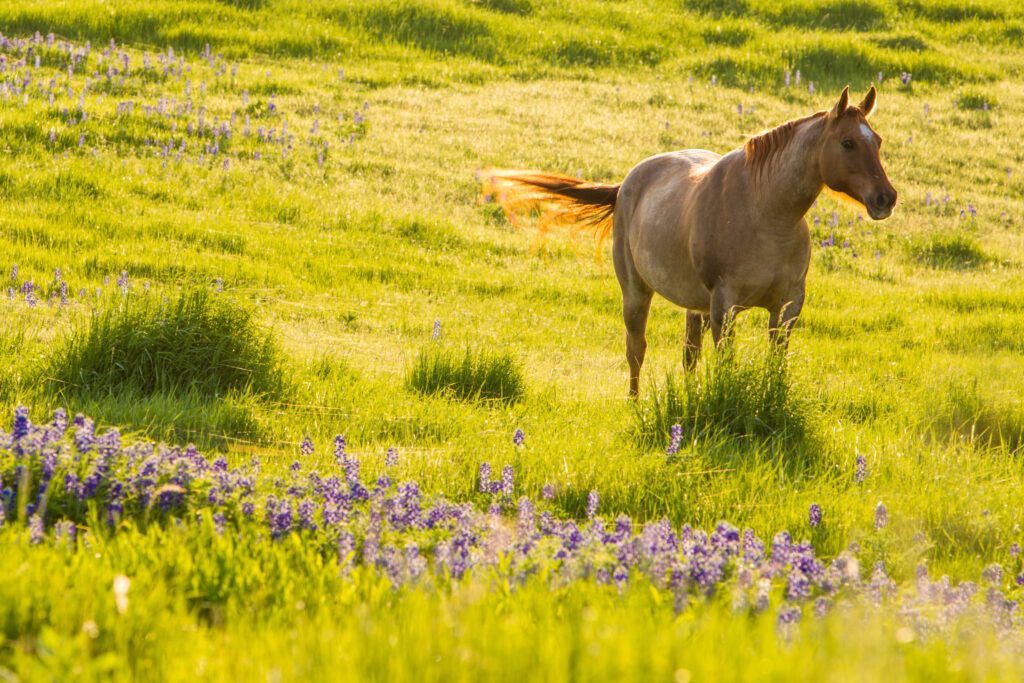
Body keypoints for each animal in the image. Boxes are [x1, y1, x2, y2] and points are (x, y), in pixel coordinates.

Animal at [485, 87, 897, 395]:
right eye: (847, 142)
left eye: (876, 141)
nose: (886, 198)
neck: (766, 214)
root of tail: (626, 185)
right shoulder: (724, 305)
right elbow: (726, 363)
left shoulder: (788, 304)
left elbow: (775, 362)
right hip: (636, 292)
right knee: (636, 349)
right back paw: (634, 404)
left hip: (693, 306)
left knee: (688, 355)